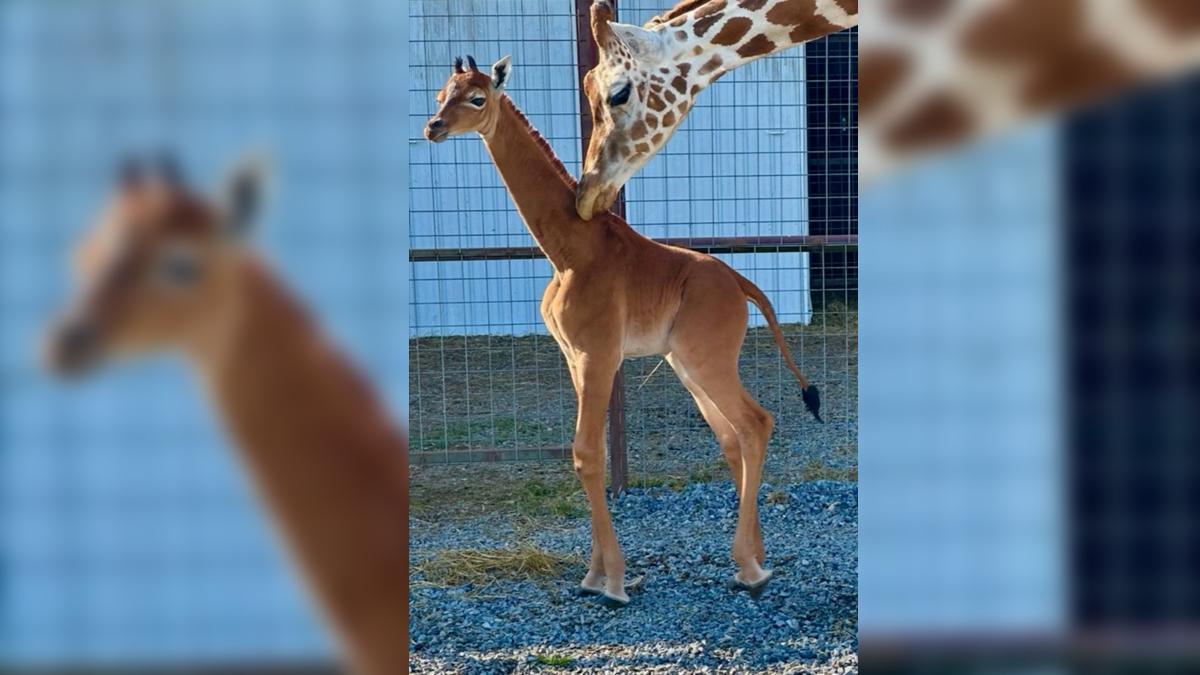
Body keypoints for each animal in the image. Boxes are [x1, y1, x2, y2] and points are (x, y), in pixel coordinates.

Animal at [424, 56, 825, 605]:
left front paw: (612, 580)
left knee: (754, 423)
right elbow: (586, 455)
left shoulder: (599, 354)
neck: (569, 250)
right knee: (731, 434)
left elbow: (588, 453)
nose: (433, 127)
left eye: (477, 97)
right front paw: (594, 575)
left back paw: (750, 567)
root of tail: (742, 285)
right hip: (686, 364)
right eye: (441, 92)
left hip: (707, 358)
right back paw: (757, 557)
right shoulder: (574, 357)